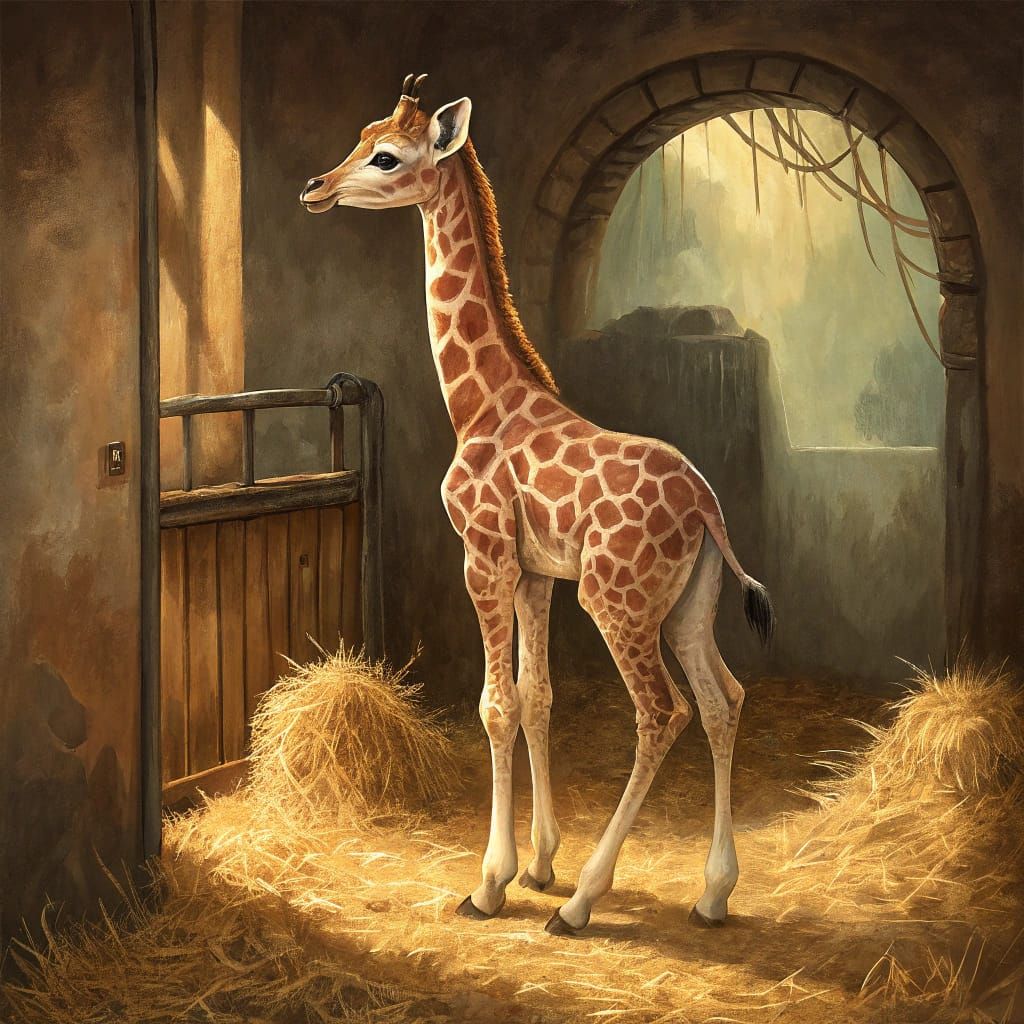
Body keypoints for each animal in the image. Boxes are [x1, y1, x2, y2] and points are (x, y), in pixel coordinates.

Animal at [300, 75, 774, 936]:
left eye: (386, 156)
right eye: (361, 136)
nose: (315, 187)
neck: (480, 404)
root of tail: (707, 511)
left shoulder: (483, 556)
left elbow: (495, 705)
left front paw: (493, 883)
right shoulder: (534, 572)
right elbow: (537, 698)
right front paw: (540, 863)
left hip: (618, 602)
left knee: (665, 713)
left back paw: (586, 902)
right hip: (689, 602)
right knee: (723, 699)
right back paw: (713, 894)